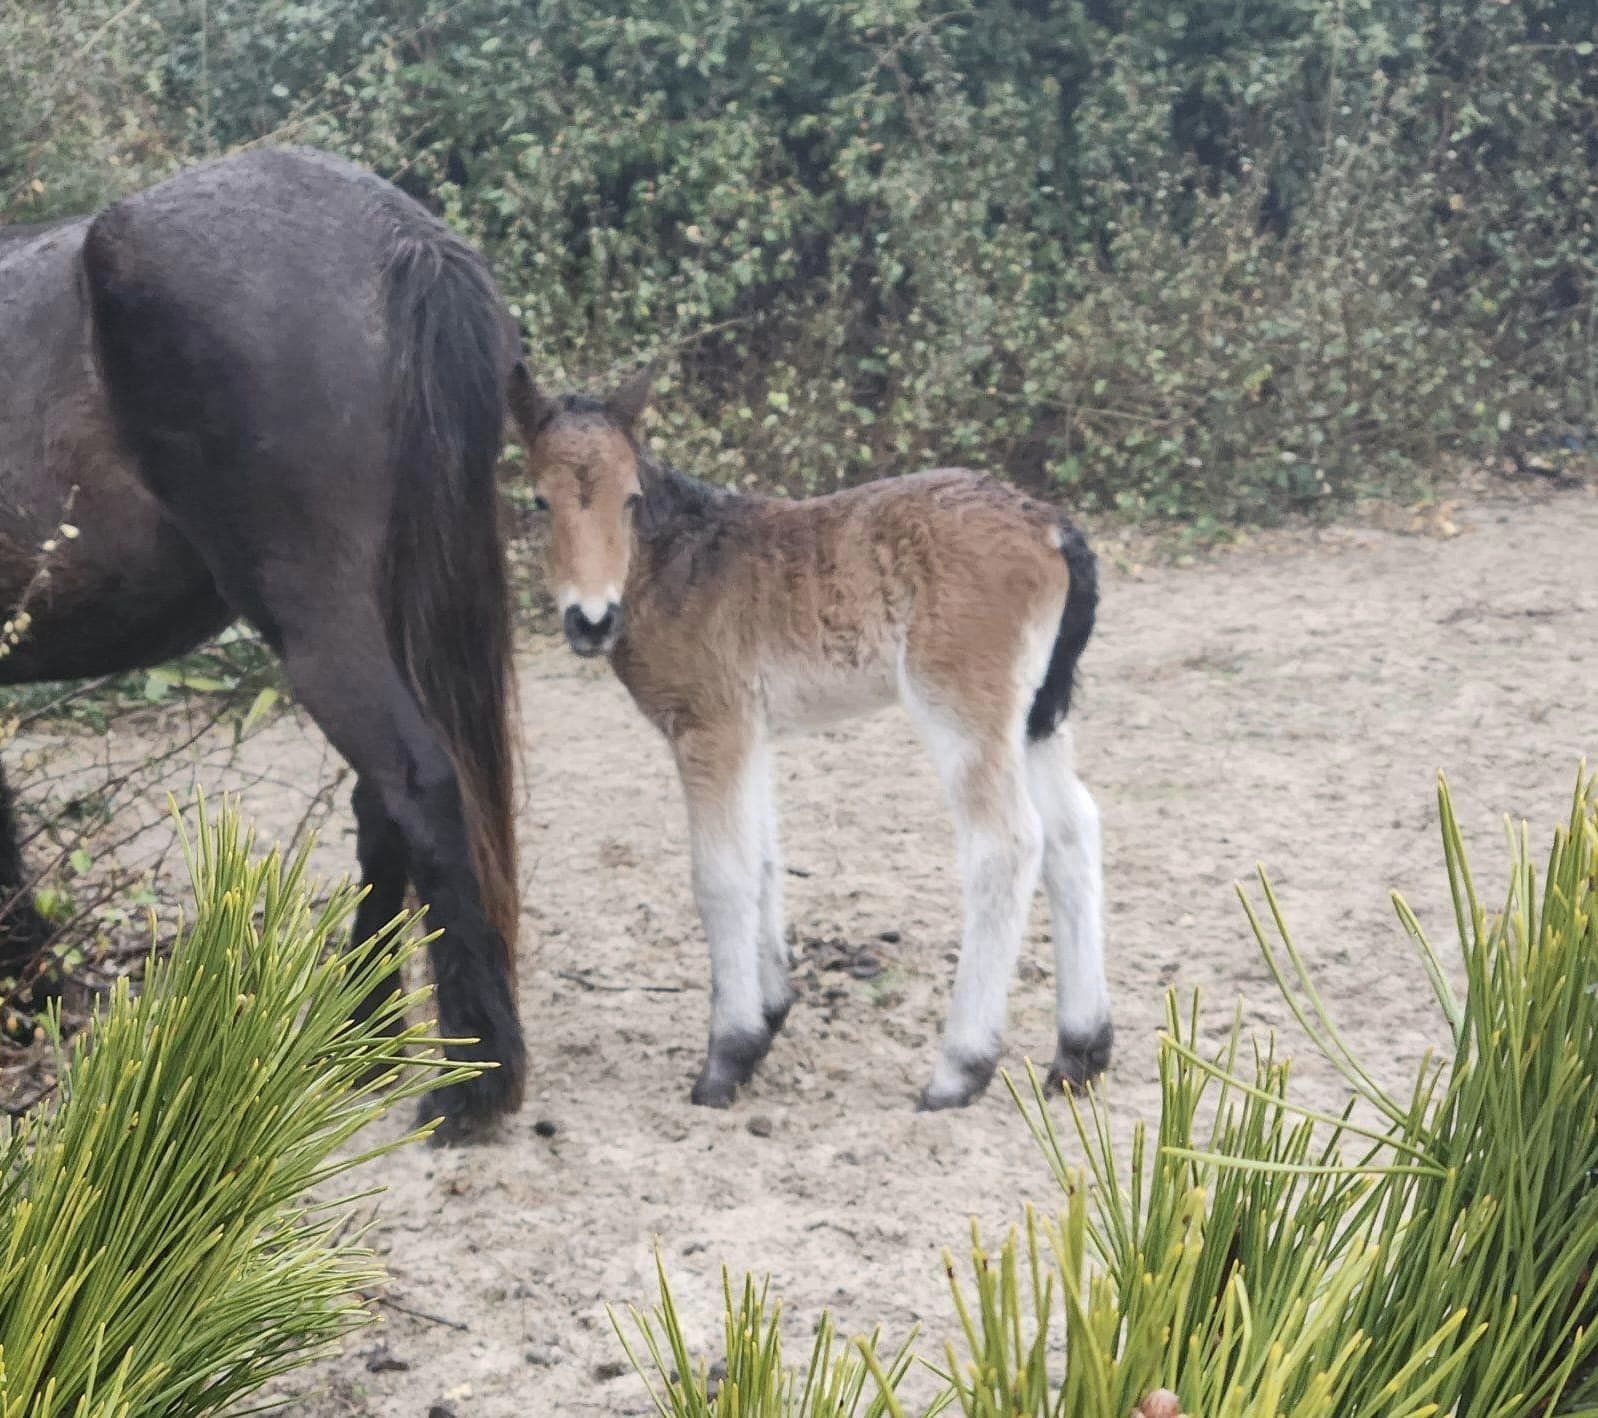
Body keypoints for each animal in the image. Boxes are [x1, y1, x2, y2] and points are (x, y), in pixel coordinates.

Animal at [0, 147, 524, 1144]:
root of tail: (394, 232)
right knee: (380, 806)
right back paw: (364, 1043)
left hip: (314, 617)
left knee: (417, 787)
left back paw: (475, 1082)